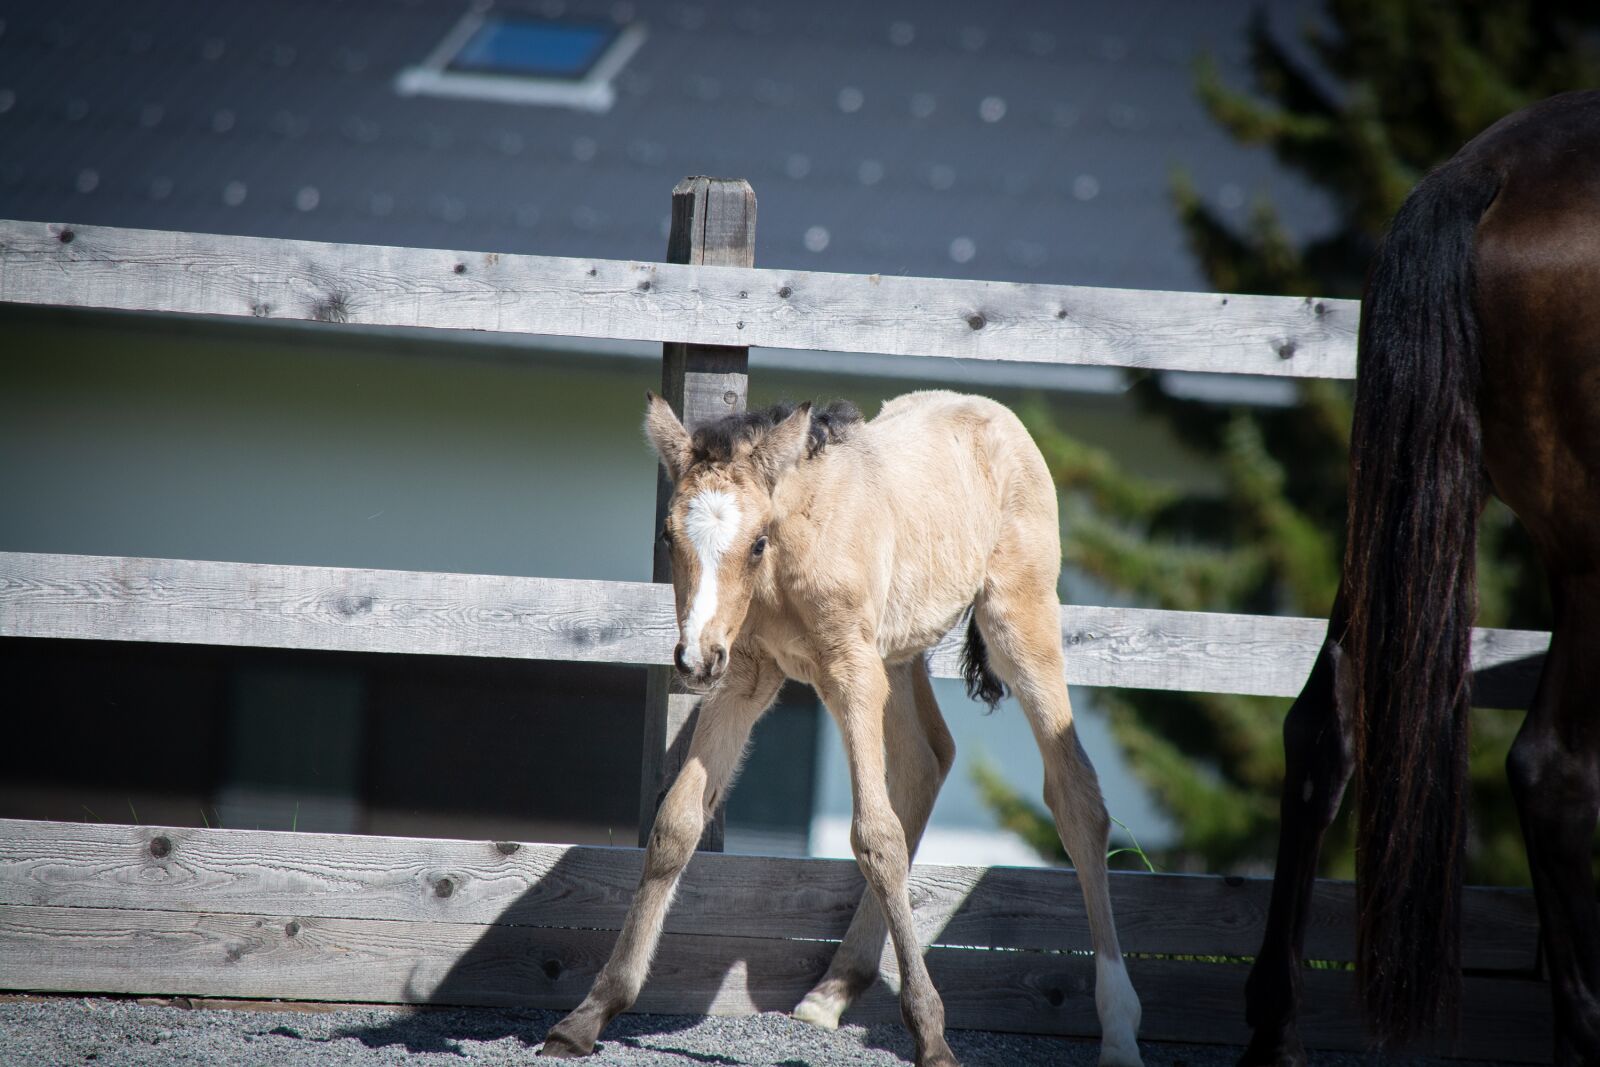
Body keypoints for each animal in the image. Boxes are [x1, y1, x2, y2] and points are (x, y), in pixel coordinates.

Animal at [538, 389, 1144, 1066]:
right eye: (669, 537)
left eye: (756, 542)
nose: (694, 659)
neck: (787, 559)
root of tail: (992, 411)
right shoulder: (745, 674)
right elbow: (676, 827)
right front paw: (589, 1015)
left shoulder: (850, 671)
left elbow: (876, 839)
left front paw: (932, 1036)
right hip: (897, 652)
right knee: (927, 759)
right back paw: (834, 988)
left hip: (1018, 620)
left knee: (1076, 797)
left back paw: (1120, 1030)